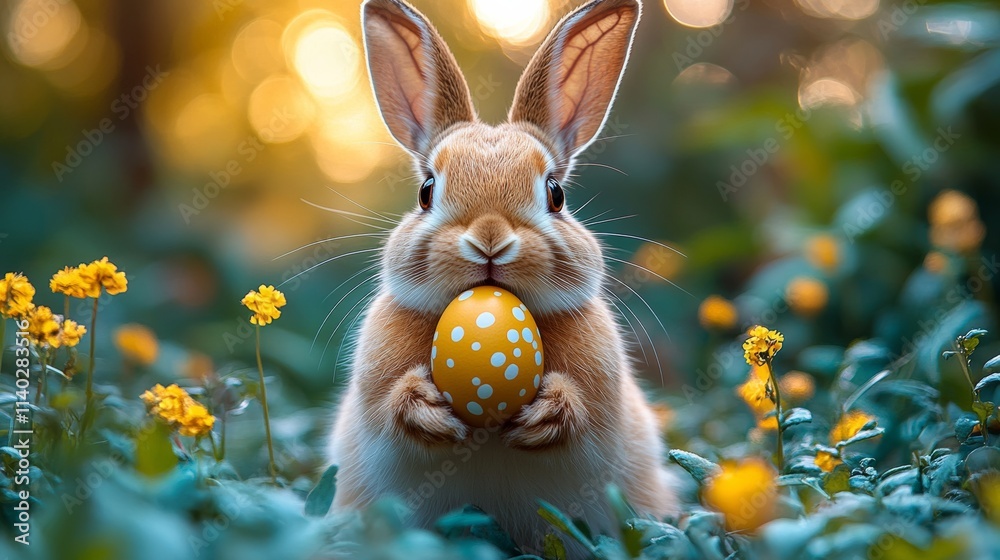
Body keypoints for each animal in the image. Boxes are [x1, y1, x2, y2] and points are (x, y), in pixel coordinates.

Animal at [327, 0, 678, 553]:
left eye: (556, 194)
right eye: (426, 191)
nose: (489, 239)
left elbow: (581, 410)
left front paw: (545, 416)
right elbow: (392, 407)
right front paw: (428, 411)